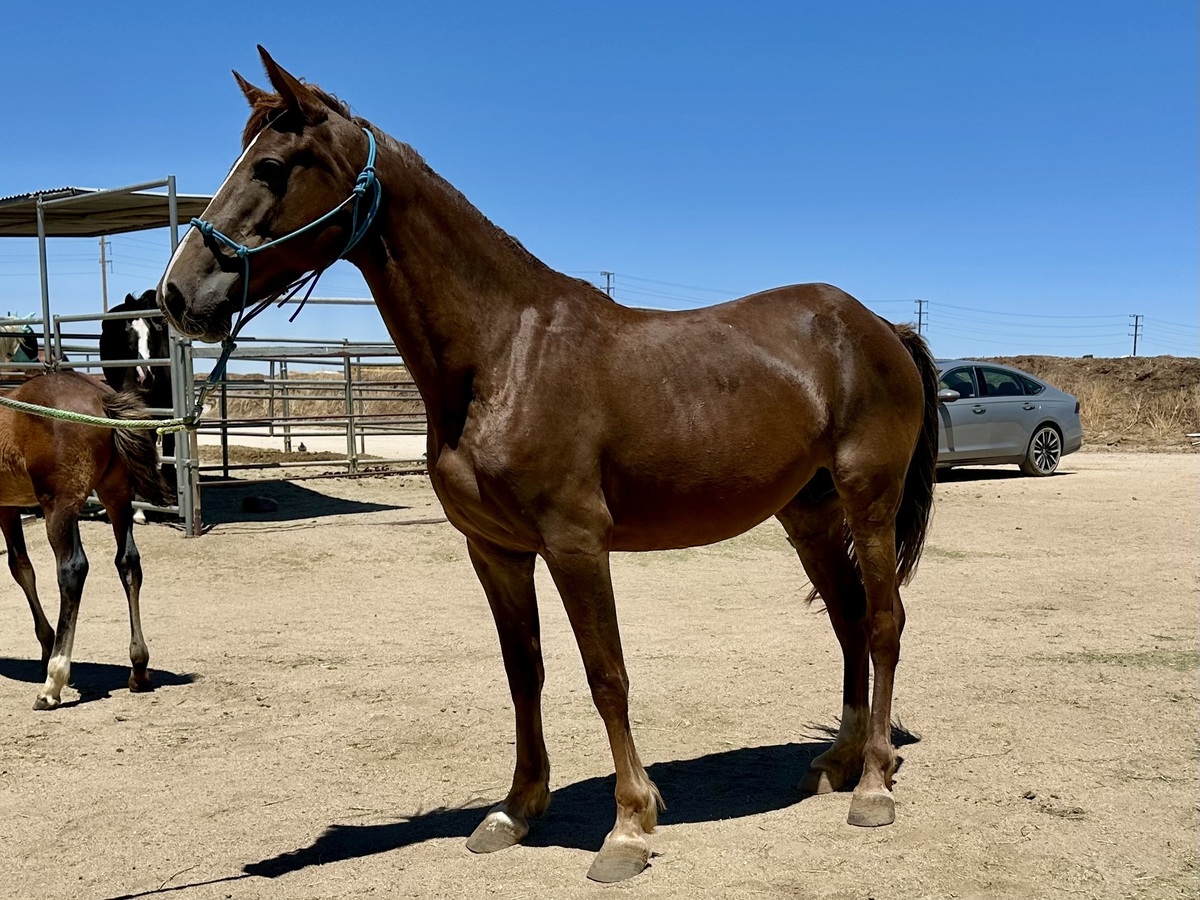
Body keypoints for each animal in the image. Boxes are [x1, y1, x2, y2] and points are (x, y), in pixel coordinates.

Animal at [0, 372, 171, 710]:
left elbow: (20, 568)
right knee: (128, 562)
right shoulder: (8, 506)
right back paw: (139, 668)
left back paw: (52, 683)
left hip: (61, 506)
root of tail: (101, 397)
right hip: (116, 495)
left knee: (72, 569)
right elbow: (22, 568)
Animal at [158, 47, 939, 882]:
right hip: (809, 514)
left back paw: (872, 786)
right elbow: (523, 672)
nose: (177, 294)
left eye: (270, 167)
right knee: (849, 619)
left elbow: (606, 676)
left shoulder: (575, 544)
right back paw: (836, 764)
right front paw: (515, 808)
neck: (504, 353)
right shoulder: (496, 551)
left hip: (868, 499)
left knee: (884, 621)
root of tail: (877, 325)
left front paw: (628, 826)